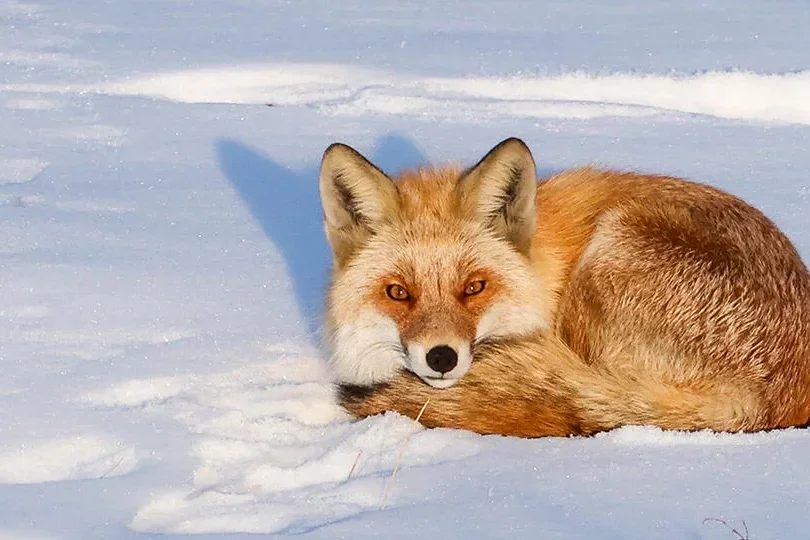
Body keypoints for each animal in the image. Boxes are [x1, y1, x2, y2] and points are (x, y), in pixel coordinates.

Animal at [314, 137, 808, 436]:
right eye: (398, 293)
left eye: (474, 287)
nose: (441, 357)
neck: (545, 272)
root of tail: (764, 403)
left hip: (610, 248)